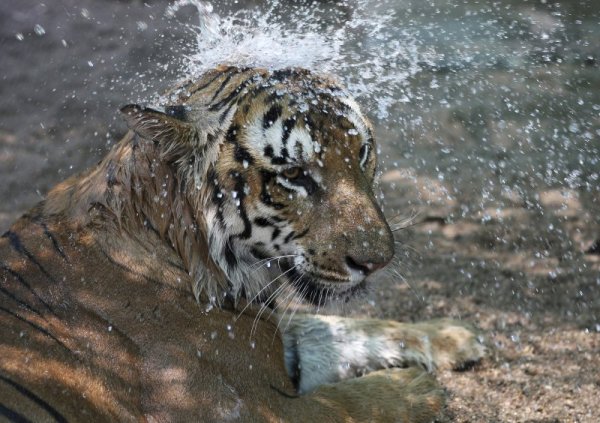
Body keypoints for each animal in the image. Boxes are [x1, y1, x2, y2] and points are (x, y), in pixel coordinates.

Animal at [0, 64, 482, 422]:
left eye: (362, 153)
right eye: (295, 176)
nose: (377, 262)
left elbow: (344, 329)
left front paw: (451, 334)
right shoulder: (245, 407)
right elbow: (351, 403)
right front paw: (418, 386)